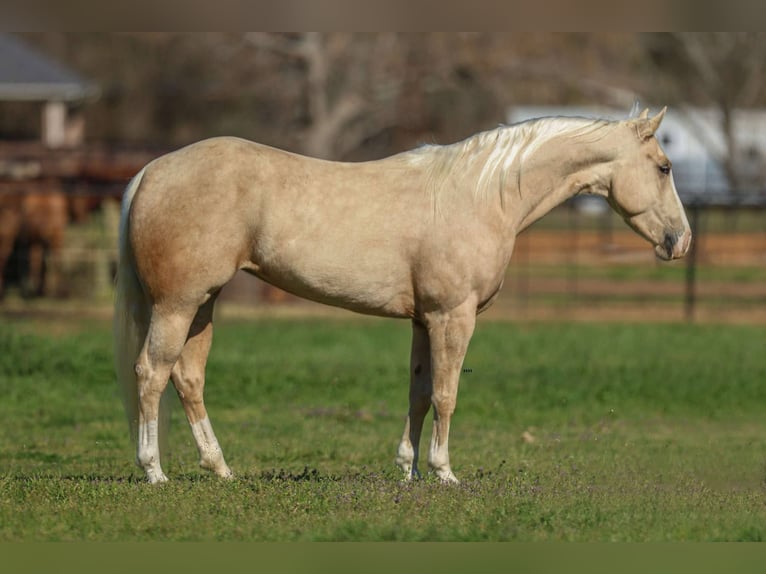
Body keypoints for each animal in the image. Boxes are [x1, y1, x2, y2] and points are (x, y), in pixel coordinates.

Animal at [113, 107, 691, 484]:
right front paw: (443, 472)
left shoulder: (423, 320)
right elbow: (446, 393)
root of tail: (149, 172)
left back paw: (221, 469)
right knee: (151, 373)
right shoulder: (453, 317)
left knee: (188, 378)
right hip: (177, 304)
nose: (680, 240)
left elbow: (419, 392)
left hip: (202, 304)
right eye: (664, 167)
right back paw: (154, 472)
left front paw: (407, 470)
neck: (483, 196)